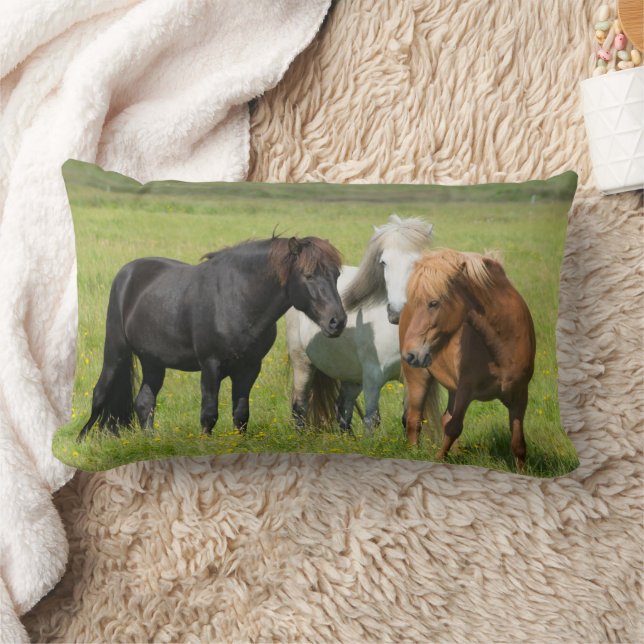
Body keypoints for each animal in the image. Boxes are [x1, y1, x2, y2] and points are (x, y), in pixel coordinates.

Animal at [77, 236, 346, 441]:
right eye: (308, 275)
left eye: (336, 275)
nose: (338, 321)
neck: (238, 299)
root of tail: (127, 272)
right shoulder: (210, 365)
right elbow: (209, 413)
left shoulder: (249, 368)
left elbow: (241, 414)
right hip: (115, 351)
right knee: (99, 393)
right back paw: (81, 440)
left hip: (153, 361)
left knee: (144, 401)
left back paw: (150, 442)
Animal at [286, 214, 439, 433]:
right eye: (383, 262)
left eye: (417, 262)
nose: (397, 313)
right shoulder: (373, 377)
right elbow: (371, 419)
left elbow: (410, 420)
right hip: (303, 363)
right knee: (299, 407)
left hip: (352, 376)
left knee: (343, 409)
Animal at [399, 248, 536, 471]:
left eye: (434, 303)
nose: (410, 354)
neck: (502, 345)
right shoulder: (466, 390)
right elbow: (454, 427)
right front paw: (438, 460)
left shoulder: (519, 395)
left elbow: (518, 444)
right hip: (418, 378)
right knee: (414, 420)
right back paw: (413, 454)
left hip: (451, 388)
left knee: (444, 418)